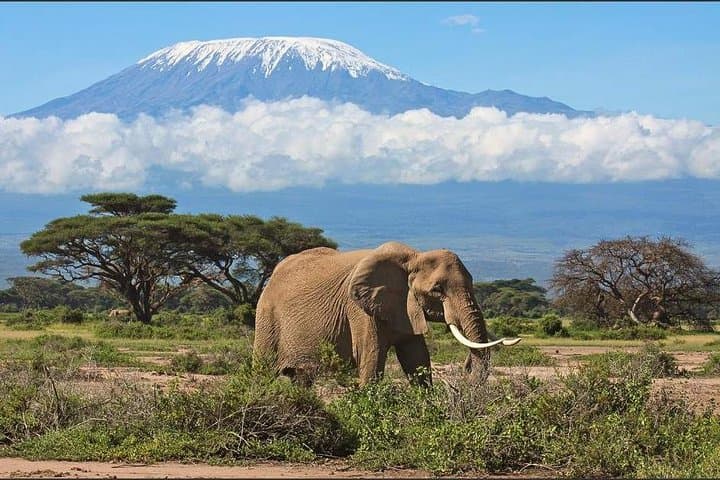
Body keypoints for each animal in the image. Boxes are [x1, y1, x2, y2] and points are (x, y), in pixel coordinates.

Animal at [253, 241, 520, 386]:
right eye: (437, 289)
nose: (465, 367)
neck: (413, 258)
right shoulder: (359, 310)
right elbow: (371, 360)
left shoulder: (405, 307)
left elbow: (417, 360)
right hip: (266, 316)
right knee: (263, 371)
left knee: (301, 379)